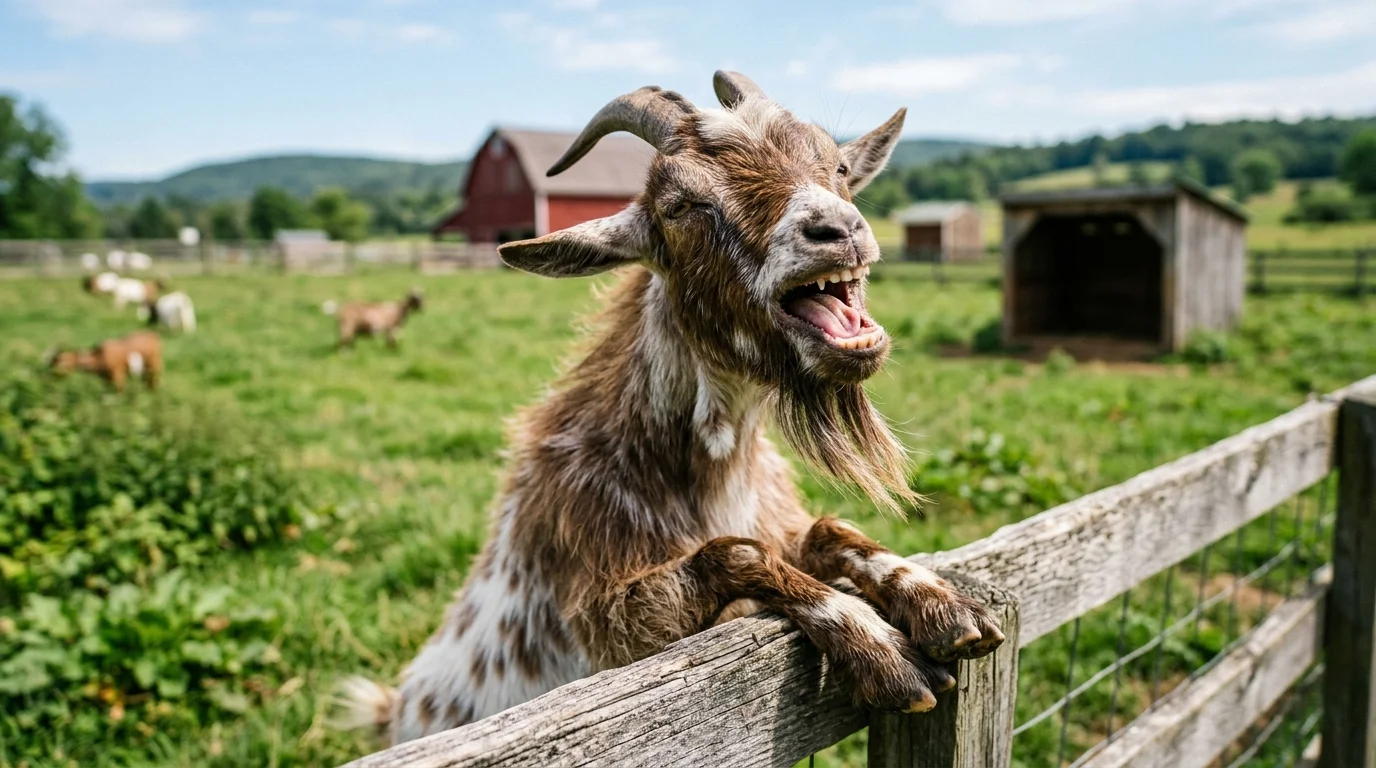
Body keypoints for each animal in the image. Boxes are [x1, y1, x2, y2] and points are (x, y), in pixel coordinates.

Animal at [340, 72, 1003, 745]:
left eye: (839, 167)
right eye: (680, 205)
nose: (837, 229)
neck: (709, 475)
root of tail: (394, 711)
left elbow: (826, 529)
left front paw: (942, 604)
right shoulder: (609, 621)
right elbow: (739, 551)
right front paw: (877, 645)